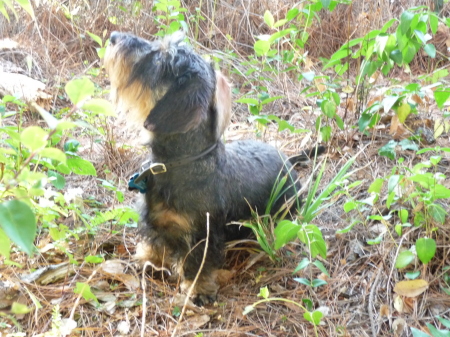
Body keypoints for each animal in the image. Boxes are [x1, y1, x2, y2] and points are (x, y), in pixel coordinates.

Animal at [103, 32, 320, 304]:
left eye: (160, 58)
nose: (113, 37)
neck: (179, 162)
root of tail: (288, 160)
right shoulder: (154, 221)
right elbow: (154, 244)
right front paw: (149, 262)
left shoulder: (203, 236)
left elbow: (197, 264)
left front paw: (197, 289)